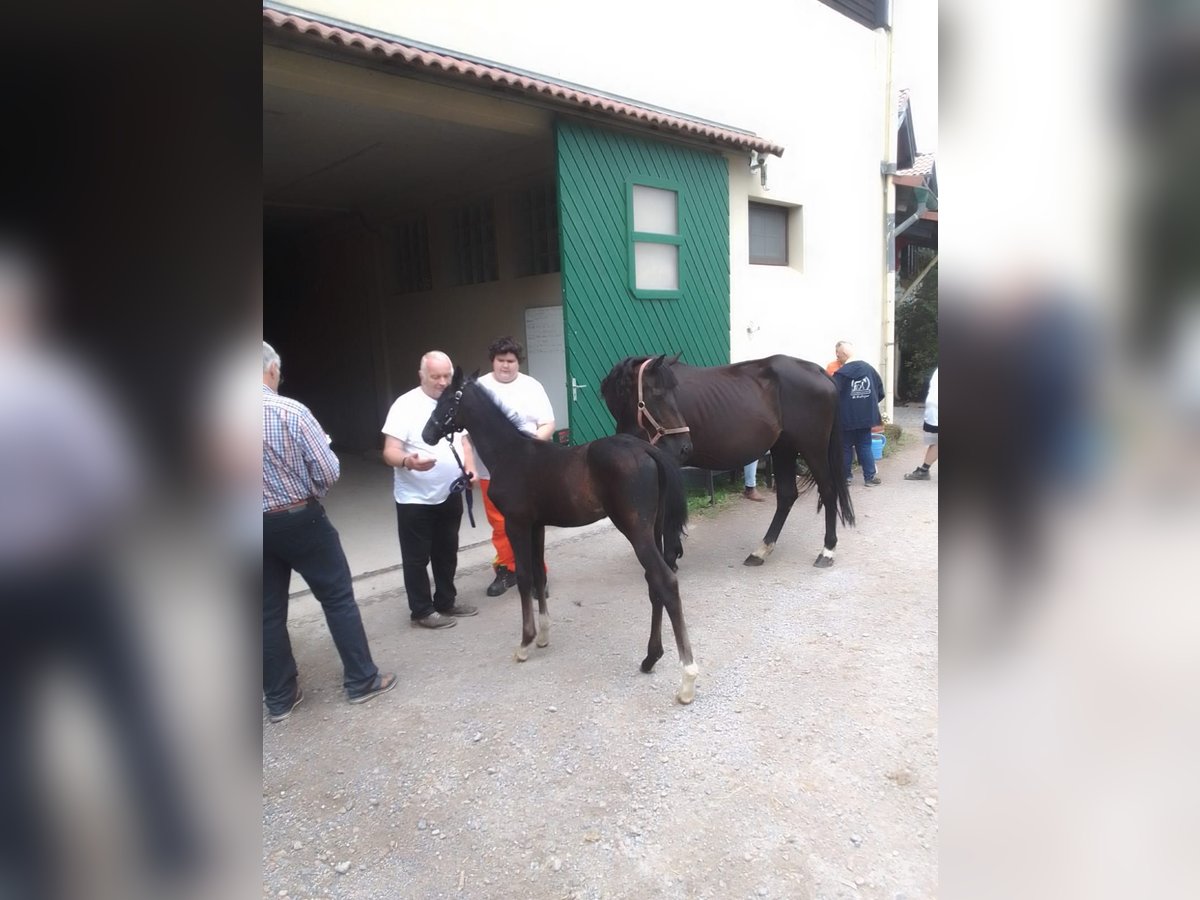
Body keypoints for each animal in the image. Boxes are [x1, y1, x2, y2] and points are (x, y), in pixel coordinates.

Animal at [421, 360, 701, 704]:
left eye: (446, 401)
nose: (427, 433)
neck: (510, 452)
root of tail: (649, 451)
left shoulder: (516, 523)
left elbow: (525, 577)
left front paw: (525, 643)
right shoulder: (537, 525)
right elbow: (539, 575)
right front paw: (543, 635)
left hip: (636, 531)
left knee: (666, 582)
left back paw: (687, 679)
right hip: (655, 529)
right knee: (655, 583)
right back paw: (651, 657)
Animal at [601, 354, 855, 568]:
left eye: (669, 394)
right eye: (657, 394)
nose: (685, 447)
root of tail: (818, 371)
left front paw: (669, 557)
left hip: (812, 448)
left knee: (828, 490)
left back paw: (827, 551)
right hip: (784, 448)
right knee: (786, 495)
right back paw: (761, 550)